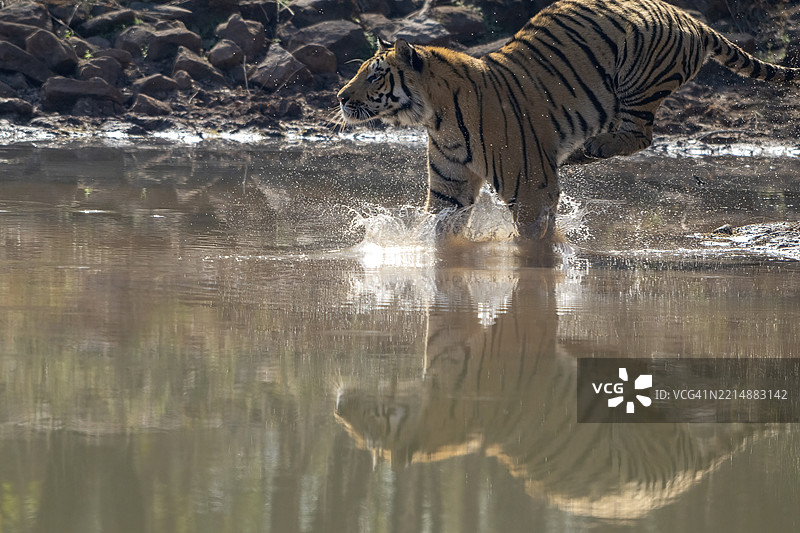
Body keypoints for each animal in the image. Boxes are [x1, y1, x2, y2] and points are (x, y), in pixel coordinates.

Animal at [337, 0, 800, 240]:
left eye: (375, 75)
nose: (340, 97)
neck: (436, 116)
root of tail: (691, 19)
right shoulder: (450, 186)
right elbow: (439, 234)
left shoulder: (529, 185)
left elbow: (532, 240)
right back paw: (579, 154)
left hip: (636, 77)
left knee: (642, 133)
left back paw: (591, 148)